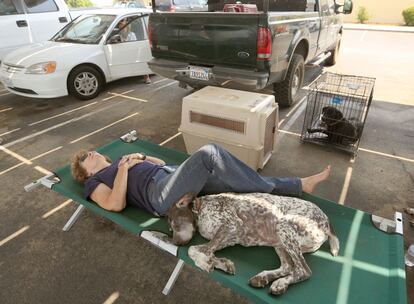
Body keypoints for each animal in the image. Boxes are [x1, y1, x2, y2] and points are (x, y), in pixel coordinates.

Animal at [167, 192, 340, 294]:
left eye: (174, 223)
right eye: (170, 227)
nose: (174, 242)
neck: (201, 208)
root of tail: (327, 221)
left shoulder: (231, 225)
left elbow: (193, 249)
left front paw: (207, 263)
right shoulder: (230, 238)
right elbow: (203, 250)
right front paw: (220, 263)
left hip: (283, 226)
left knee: (303, 270)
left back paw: (280, 283)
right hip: (279, 241)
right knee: (288, 266)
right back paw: (264, 278)